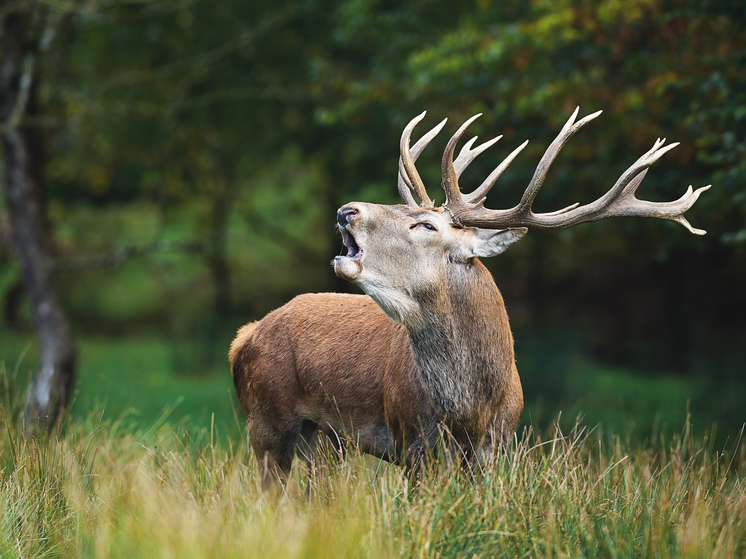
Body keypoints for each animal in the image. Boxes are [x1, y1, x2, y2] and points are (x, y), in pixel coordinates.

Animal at [230, 106, 708, 490]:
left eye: (425, 224)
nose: (347, 210)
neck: (470, 408)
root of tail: (246, 335)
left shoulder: (496, 446)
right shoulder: (411, 439)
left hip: (324, 441)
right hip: (266, 421)